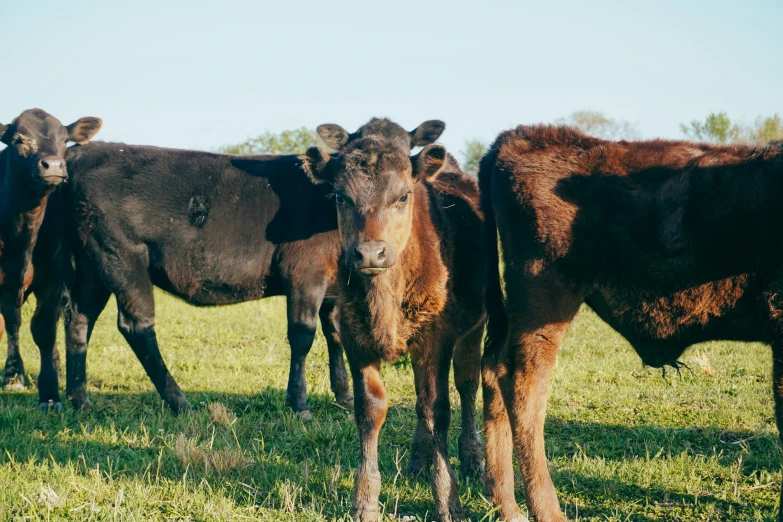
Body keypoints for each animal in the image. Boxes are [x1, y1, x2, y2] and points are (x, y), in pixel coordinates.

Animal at [0, 107, 101, 408]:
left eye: (64, 140)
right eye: (19, 140)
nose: (54, 165)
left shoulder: (54, 279)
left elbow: (44, 330)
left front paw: (49, 392)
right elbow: (12, 324)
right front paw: (14, 375)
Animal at [57, 116, 444, 416]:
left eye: (404, 193)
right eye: (340, 195)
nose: (370, 252)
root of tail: (85, 151)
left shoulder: (335, 286)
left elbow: (334, 333)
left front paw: (345, 396)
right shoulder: (305, 276)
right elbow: (302, 335)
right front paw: (298, 404)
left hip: (91, 267)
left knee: (78, 319)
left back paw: (80, 400)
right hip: (122, 258)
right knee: (136, 325)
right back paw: (179, 401)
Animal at [304, 135, 486, 520]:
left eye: (403, 196)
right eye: (340, 196)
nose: (370, 254)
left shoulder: (436, 339)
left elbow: (437, 409)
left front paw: (448, 499)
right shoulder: (354, 337)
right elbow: (371, 408)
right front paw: (365, 500)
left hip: (474, 328)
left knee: (465, 385)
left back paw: (472, 459)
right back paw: (418, 460)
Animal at [480, 123, 783, 520]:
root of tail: (515, 137)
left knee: (493, 369)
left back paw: (507, 506)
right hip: (544, 300)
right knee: (523, 385)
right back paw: (547, 510)